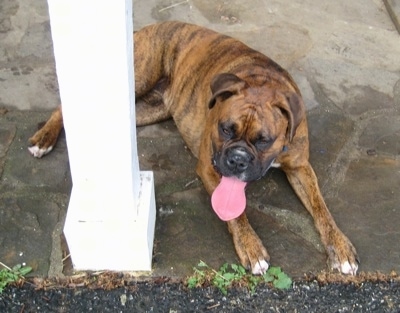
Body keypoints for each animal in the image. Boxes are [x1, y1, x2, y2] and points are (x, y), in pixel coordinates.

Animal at [28, 20, 360, 274]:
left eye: (263, 140)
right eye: (225, 129)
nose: (237, 159)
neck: (263, 81)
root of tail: (145, 28)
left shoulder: (301, 167)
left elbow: (322, 209)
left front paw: (341, 247)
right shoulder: (210, 169)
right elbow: (236, 215)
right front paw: (252, 249)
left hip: (148, 108)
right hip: (138, 76)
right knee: (67, 108)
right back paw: (44, 138)